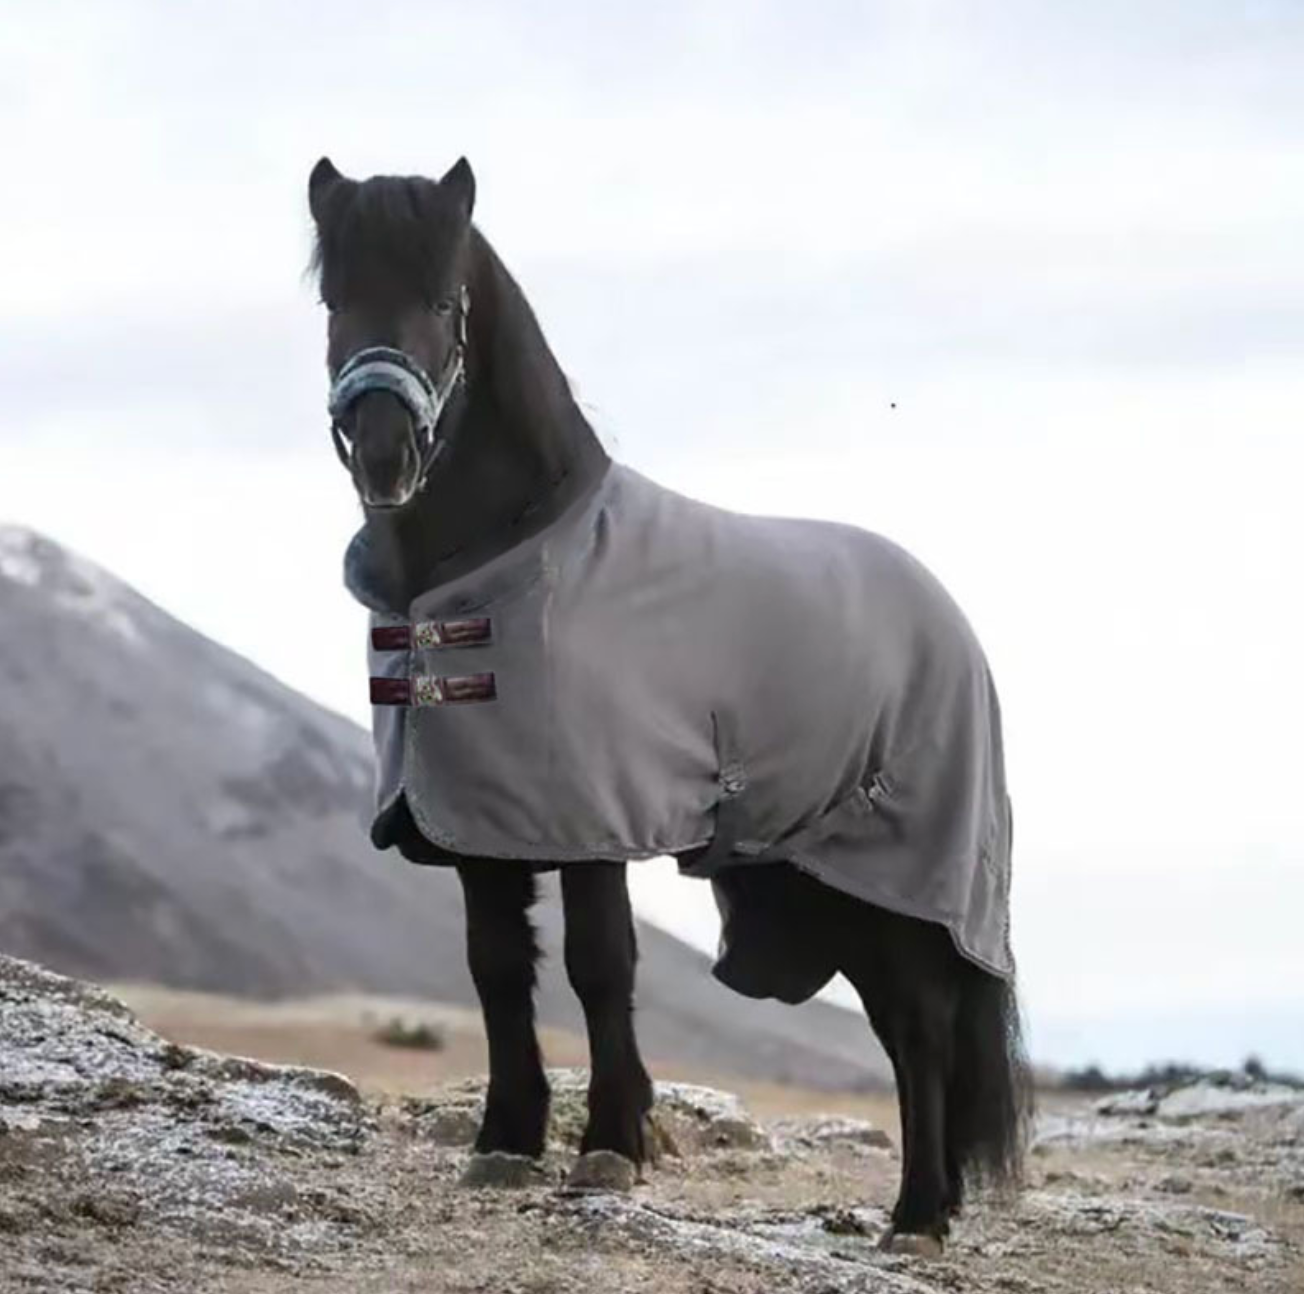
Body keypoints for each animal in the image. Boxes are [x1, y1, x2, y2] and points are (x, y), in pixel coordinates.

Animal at [307, 154, 1031, 1253]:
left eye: (441, 302)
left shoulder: (593, 816)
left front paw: (610, 1143)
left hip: (898, 874)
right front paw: (506, 1140)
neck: (503, 559)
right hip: (833, 883)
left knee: (917, 1023)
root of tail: (948, 618)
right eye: (333, 299)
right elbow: (495, 967)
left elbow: (600, 964)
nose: (384, 451)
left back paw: (914, 1215)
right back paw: (933, 1202)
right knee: (913, 1027)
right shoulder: (478, 824)